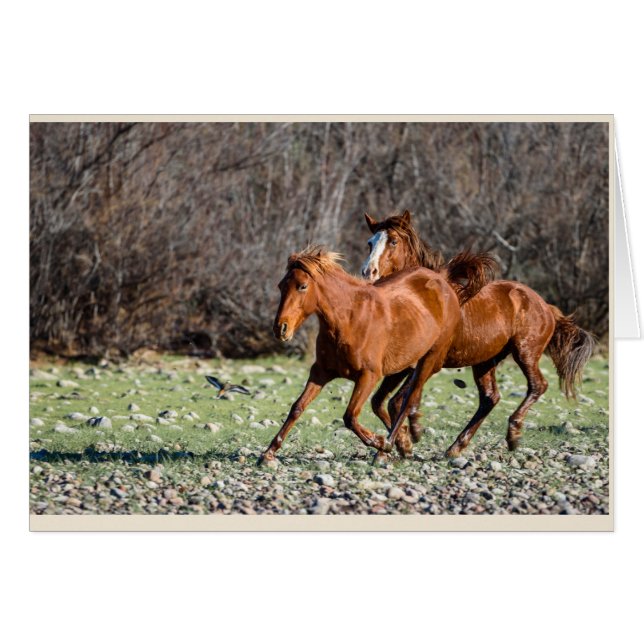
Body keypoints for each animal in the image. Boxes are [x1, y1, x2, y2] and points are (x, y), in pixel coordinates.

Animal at [258, 245, 461, 465]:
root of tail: (442, 282)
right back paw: (404, 442)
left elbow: (350, 416)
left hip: (429, 360)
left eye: (302, 286)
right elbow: (297, 407)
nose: (280, 328)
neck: (349, 320)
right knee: (385, 402)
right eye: (281, 286)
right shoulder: (320, 372)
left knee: (407, 401)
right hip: (403, 366)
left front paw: (380, 442)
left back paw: (388, 446)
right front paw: (268, 453)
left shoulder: (368, 376)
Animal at [361, 210, 595, 456]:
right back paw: (456, 447)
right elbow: (379, 401)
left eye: (393, 241)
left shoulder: (429, 362)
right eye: (370, 243)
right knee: (490, 397)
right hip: (485, 361)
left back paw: (513, 434)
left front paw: (407, 438)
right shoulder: (404, 365)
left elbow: (398, 400)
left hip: (525, 352)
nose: (368, 272)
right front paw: (402, 442)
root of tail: (546, 306)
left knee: (537, 385)